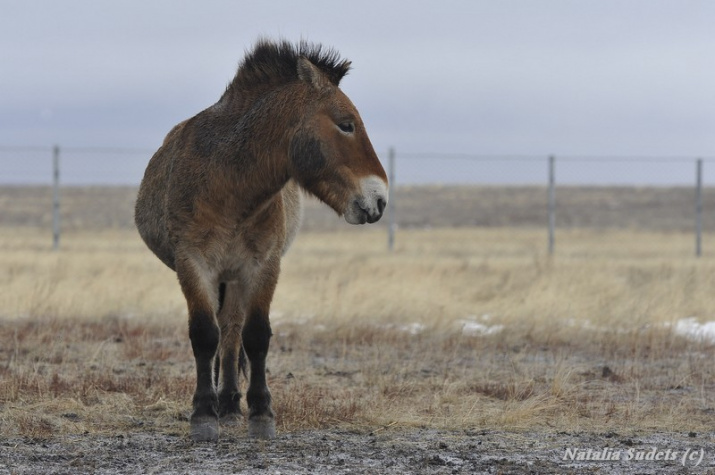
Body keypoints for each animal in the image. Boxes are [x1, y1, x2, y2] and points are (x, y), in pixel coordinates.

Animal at [135, 40, 392, 442]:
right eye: (346, 124)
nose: (379, 199)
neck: (229, 187)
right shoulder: (193, 264)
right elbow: (203, 335)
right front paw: (203, 415)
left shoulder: (264, 266)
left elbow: (254, 336)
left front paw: (259, 413)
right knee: (221, 333)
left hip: (236, 279)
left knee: (231, 333)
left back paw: (229, 405)